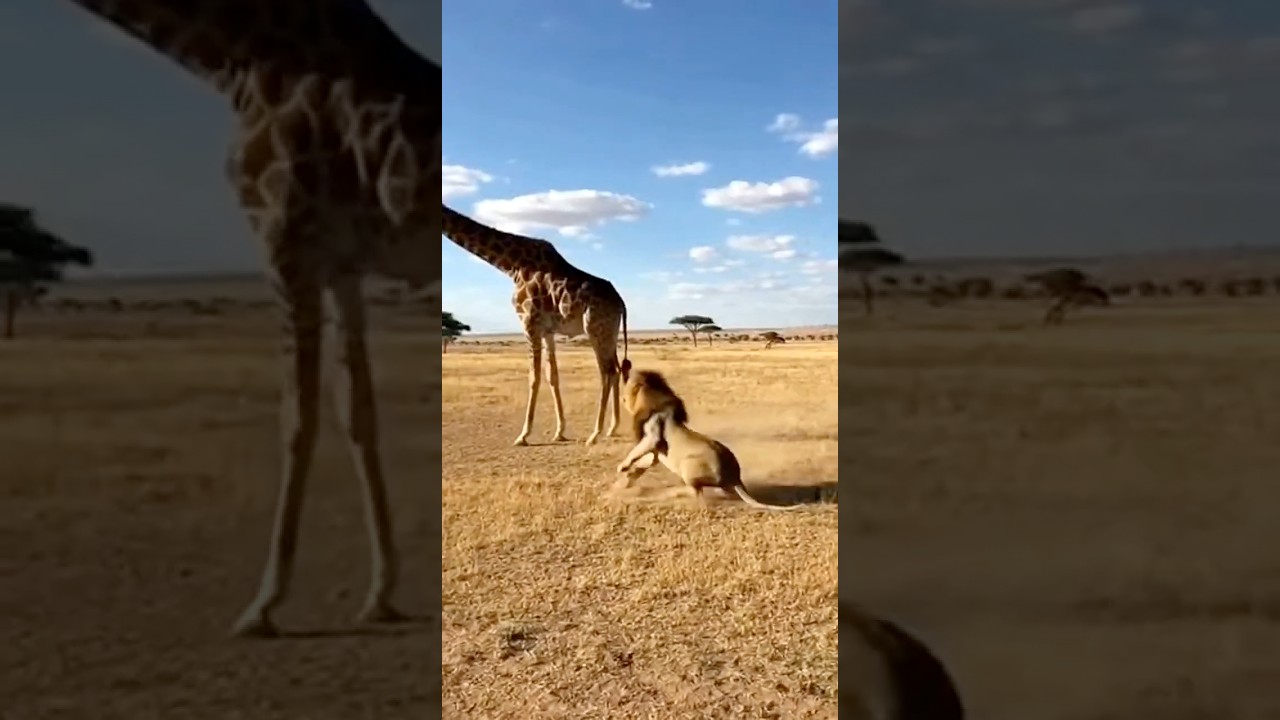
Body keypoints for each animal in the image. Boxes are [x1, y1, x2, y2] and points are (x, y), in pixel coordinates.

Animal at [64, 0, 442, 639]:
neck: (234, 58)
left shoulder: (284, 240)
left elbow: (296, 417)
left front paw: (263, 604)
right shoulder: (340, 264)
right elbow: (356, 410)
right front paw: (380, 594)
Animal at [442, 205, 630, 446]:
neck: (511, 265)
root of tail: (621, 303)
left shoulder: (528, 323)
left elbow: (534, 376)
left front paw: (523, 435)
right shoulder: (547, 330)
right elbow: (552, 375)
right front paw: (559, 431)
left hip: (595, 329)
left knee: (607, 372)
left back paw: (595, 433)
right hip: (610, 333)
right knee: (616, 369)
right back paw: (612, 428)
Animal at [614, 367, 800, 511]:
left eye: (628, 384)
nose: (621, 397)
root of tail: (734, 477)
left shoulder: (652, 436)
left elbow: (635, 452)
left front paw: (622, 467)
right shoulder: (656, 451)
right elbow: (644, 461)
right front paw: (625, 478)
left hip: (688, 464)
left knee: (695, 491)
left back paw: (673, 492)